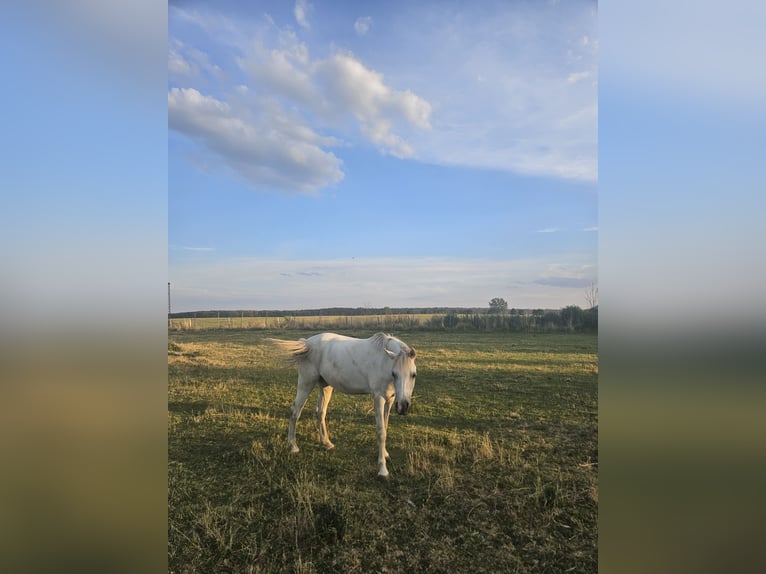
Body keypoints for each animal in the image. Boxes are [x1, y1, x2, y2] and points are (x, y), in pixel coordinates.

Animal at [268, 332, 417, 478]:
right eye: (394, 373)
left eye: (413, 375)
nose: (402, 407)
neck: (383, 361)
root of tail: (307, 343)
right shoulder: (378, 398)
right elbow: (381, 432)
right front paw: (383, 470)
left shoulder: (390, 400)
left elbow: (385, 427)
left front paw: (385, 454)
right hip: (306, 383)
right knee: (295, 411)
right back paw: (293, 446)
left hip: (325, 386)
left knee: (320, 412)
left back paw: (326, 443)